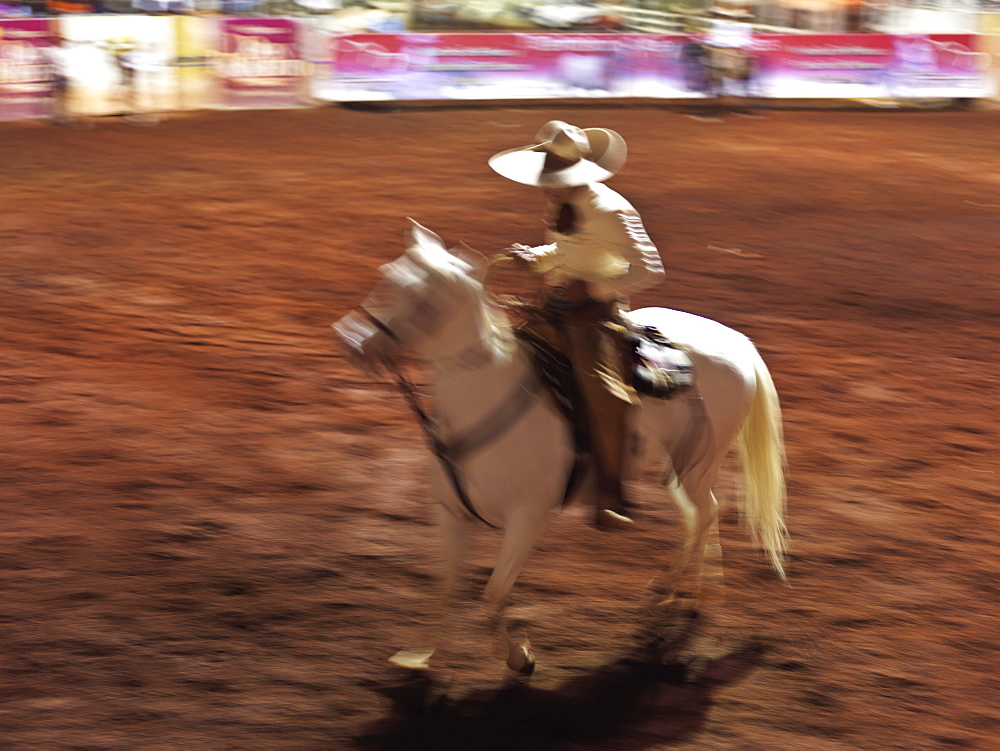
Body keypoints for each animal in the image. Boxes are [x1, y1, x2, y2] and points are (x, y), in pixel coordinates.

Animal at [336, 219, 788, 676]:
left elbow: (493, 593)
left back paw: (666, 601)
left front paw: (519, 656)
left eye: (419, 295)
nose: (350, 342)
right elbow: (446, 588)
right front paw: (422, 655)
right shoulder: (450, 513)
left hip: (699, 462)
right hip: (678, 464)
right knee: (697, 517)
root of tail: (738, 342)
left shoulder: (527, 520)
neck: (485, 393)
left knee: (706, 512)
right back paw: (688, 597)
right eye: (386, 276)